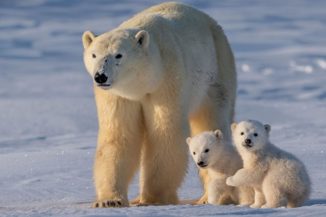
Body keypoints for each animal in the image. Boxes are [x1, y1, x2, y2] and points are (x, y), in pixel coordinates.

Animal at [81, 2, 236, 209]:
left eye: (119, 55)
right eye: (94, 54)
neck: (143, 83)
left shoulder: (167, 81)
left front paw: (153, 199)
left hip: (216, 71)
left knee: (211, 120)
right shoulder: (118, 96)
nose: (100, 76)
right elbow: (118, 136)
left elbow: (165, 134)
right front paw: (109, 200)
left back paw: (207, 197)